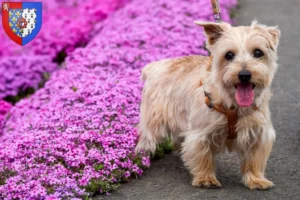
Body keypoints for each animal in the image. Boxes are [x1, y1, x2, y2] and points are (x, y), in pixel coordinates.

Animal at [135, 20, 280, 191]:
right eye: (229, 55)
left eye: (258, 52)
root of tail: (155, 66)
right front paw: (206, 179)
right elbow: (203, 156)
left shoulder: (258, 133)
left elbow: (254, 159)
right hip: (153, 121)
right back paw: (141, 157)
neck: (233, 105)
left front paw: (256, 179)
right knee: (147, 138)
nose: (244, 75)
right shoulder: (200, 133)